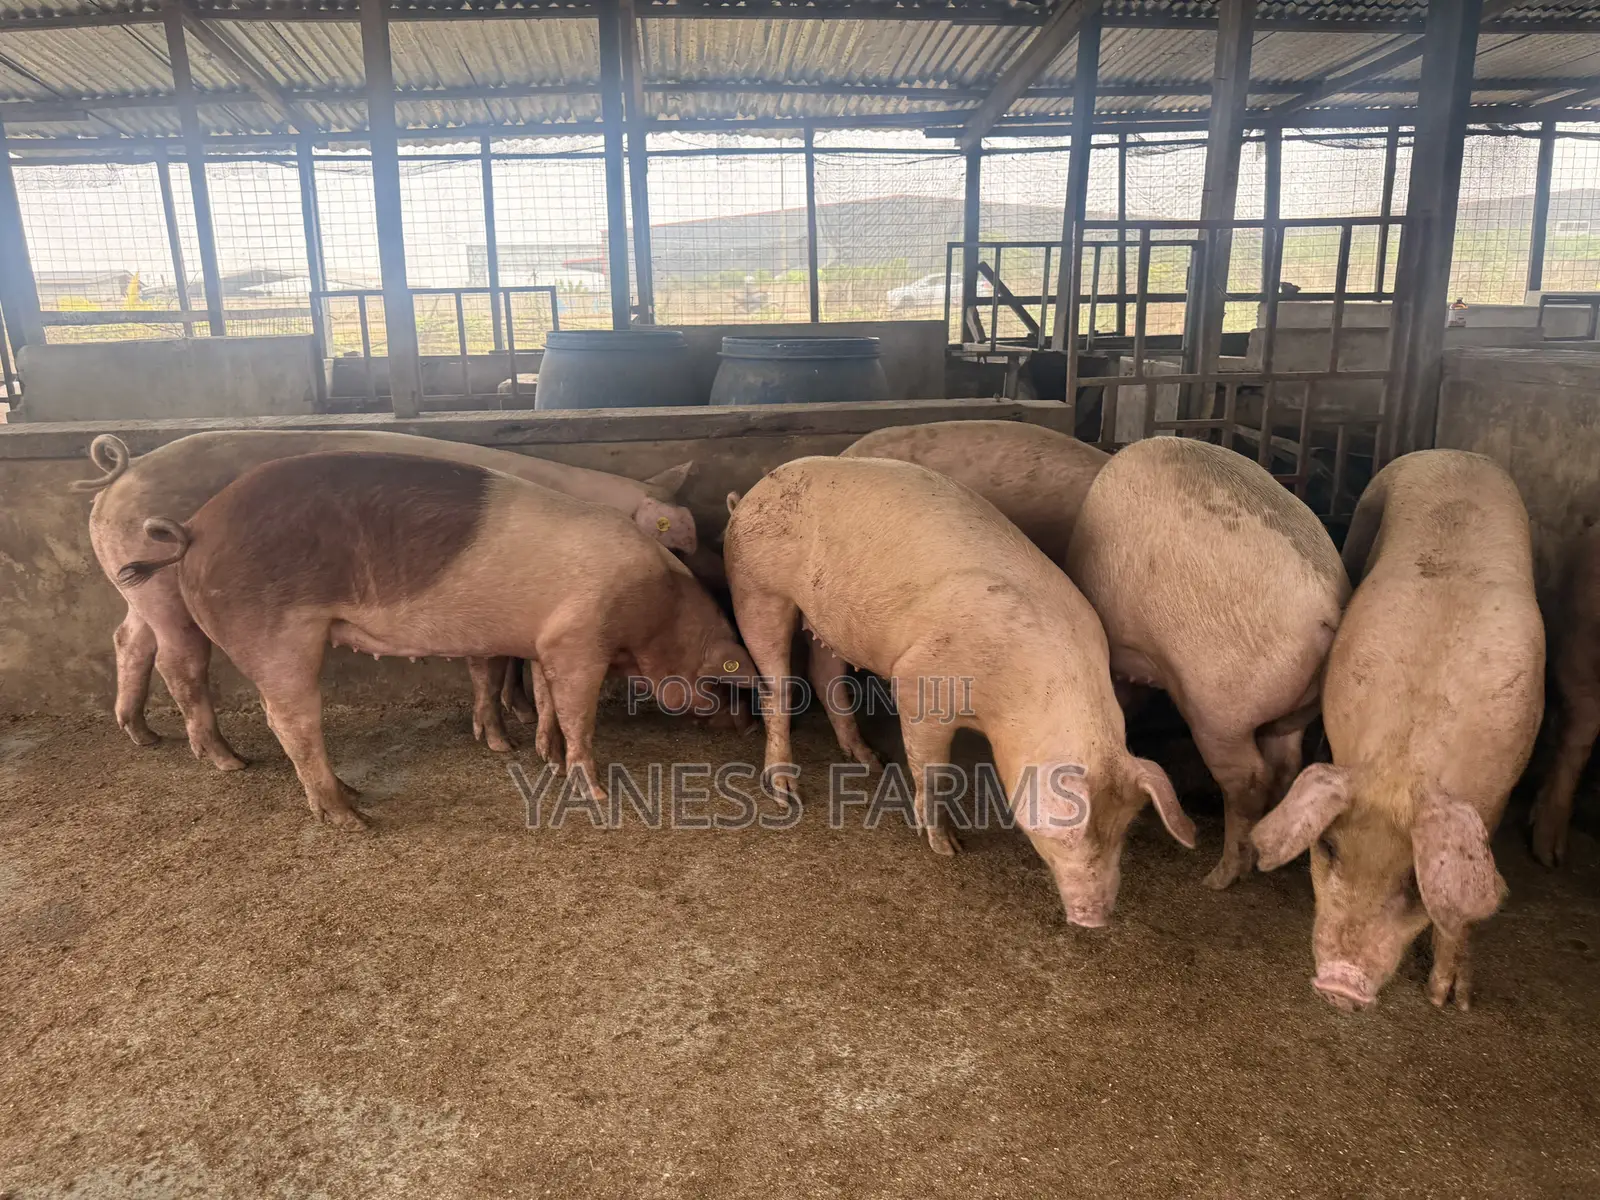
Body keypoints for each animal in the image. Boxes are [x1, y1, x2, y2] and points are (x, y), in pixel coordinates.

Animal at [76, 430, 697, 770]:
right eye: (671, 533)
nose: (699, 569)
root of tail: (123, 472)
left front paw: (517, 715)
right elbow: (498, 666)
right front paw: (508, 738)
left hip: (137, 590)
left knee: (127, 640)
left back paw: (142, 734)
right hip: (172, 598)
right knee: (180, 662)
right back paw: (230, 760)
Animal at [116, 452, 752, 830]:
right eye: (722, 680)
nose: (742, 722)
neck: (655, 606)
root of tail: (193, 531)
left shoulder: (548, 640)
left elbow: (547, 700)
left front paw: (541, 754)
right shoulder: (580, 640)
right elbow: (578, 714)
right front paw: (594, 794)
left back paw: (349, 795)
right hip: (273, 633)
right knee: (288, 719)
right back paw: (347, 816)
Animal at [722, 456, 1195, 926]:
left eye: (1123, 829)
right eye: (1064, 829)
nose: (1094, 918)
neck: (1008, 703)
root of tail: (750, 494)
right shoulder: (918, 680)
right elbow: (931, 770)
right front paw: (947, 847)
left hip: (826, 619)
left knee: (825, 677)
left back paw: (870, 760)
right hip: (756, 589)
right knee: (778, 688)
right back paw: (786, 793)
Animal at [1064, 437, 1350, 890]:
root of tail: (1328, 607)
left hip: (1218, 707)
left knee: (1249, 779)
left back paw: (1220, 876)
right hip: (1293, 712)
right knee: (1286, 765)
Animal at [1251, 450, 1543, 1011]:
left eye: (1414, 881)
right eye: (1329, 848)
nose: (1340, 984)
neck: (1406, 762)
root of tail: (1453, 452)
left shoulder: (1497, 798)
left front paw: (1450, 1002)